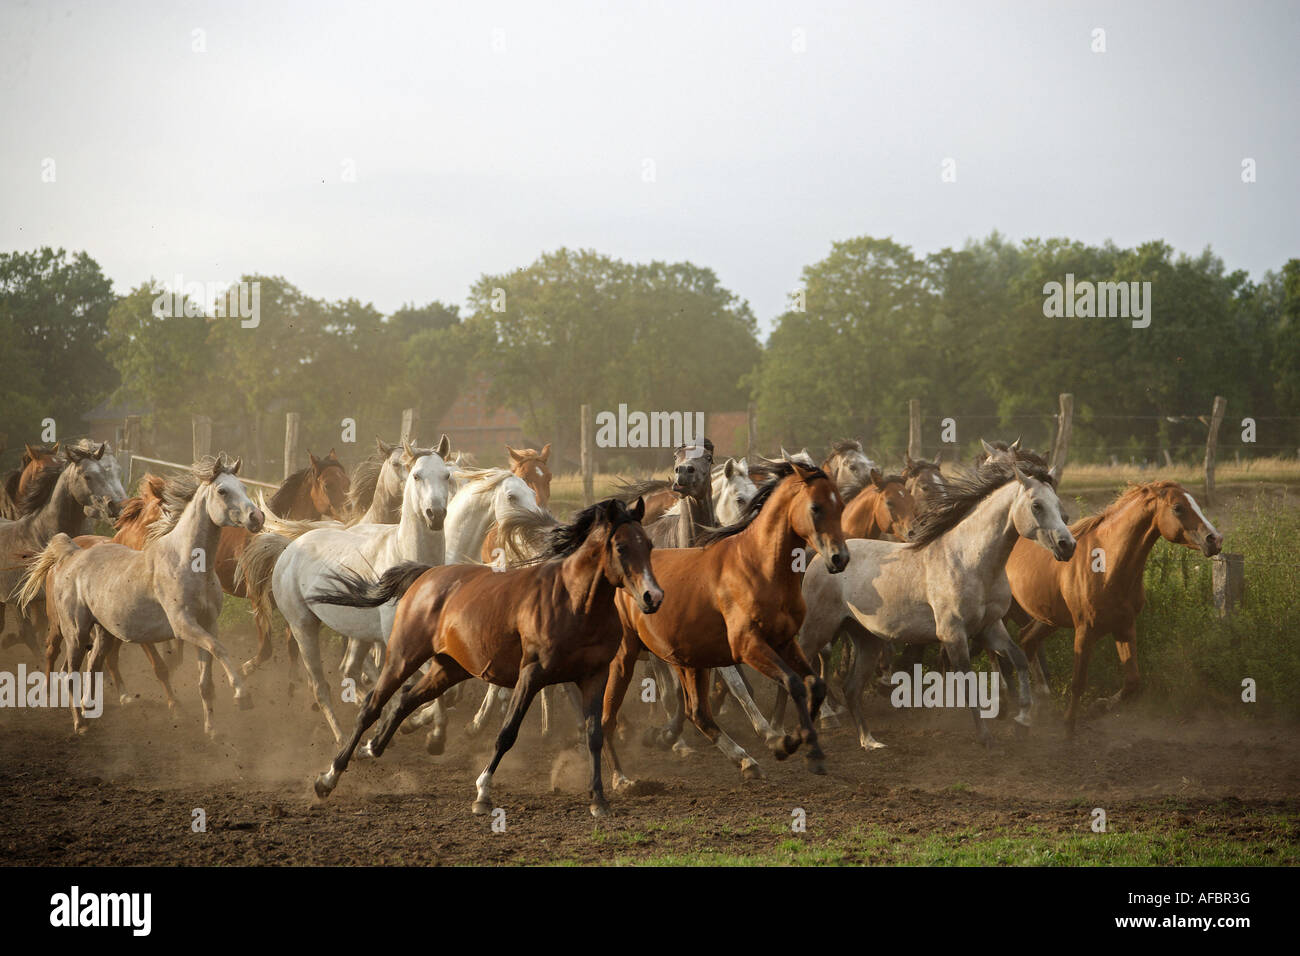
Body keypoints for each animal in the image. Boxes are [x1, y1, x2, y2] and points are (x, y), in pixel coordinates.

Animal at [16, 455, 263, 736]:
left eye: (243, 487)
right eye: (222, 490)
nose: (257, 517)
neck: (187, 562)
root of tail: (72, 553)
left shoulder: (207, 623)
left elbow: (206, 680)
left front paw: (211, 729)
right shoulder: (183, 625)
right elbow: (218, 649)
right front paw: (242, 697)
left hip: (103, 632)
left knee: (94, 665)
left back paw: (91, 711)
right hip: (75, 631)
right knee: (69, 671)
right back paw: (79, 723)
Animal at [309, 497, 662, 818]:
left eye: (649, 545)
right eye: (621, 547)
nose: (653, 597)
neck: (575, 603)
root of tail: (427, 574)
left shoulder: (594, 676)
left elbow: (594, 735)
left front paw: (598, 799)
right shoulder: (531, 674)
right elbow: (507, 733)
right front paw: (482, 793)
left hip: (448, 668)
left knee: (406, 698)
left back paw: (374, 747)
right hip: (403, 656)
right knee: (372, 705)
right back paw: (329, 777)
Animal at [601, 460, 850, 785]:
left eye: (841, 506)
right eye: (816, 507)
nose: (839, 558)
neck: (758, 566)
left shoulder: (784, 641)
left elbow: (813, 684)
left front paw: (799, 744)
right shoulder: (747, 645)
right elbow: (790, 683)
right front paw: (786, 741)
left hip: (687, 659)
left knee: (698, 713)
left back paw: (744, 760)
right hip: (625, 656)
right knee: (605, 714)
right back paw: (621, 778)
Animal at [784, 454, 1074, 751]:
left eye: (1057, 504)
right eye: (1037, 505)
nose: (1068, 545)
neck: (970, 560)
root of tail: (821, 559)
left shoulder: (990, 627)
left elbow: (1019, 659)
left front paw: (1022, 721)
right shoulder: (953, 635)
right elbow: (968, 683)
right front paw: (986, 737)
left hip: (866, 638)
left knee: (851, 688)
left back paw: (869, 741)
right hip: (817, 630)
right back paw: (785, 730)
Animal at [1007, 480, 1222, 734]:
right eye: (1178, 507)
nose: (1215, 540)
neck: (1106, 565)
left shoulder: (1124, 626)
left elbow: (1133, 682)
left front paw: (1097, 707)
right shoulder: (1085, 630)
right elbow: (1078, 682)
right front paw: (1069, 726)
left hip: (1048, 618)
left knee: (1026, 639)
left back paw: (1038, 705)